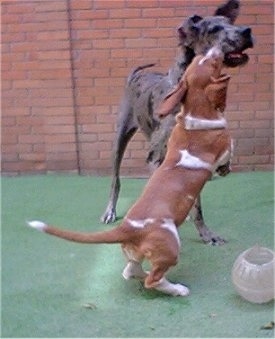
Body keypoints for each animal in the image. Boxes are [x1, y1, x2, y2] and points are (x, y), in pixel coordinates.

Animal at [28, 47, 233, 298]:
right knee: (153, 279)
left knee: (131, 271)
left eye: (200, 61)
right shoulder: (222, 148)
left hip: (136, 253)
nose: (215, 50)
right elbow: (225, 158)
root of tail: (127, 228)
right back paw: (177, 289)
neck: (195, 113)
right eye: (210, 62)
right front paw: (223, 170)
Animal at [101, 0, 254, 244]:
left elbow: (196, 203)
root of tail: (134, 75)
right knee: (115, 179)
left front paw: (205, 233)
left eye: (230, 22)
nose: (247, 31)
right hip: (119, 139)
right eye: (214, 29)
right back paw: (110, 211)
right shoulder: (156, 158)